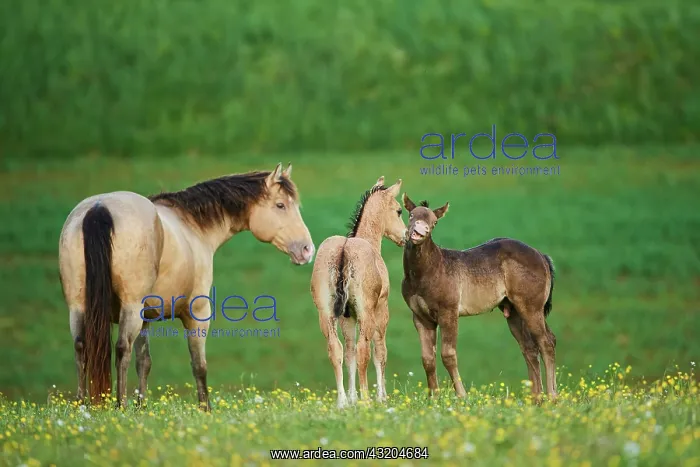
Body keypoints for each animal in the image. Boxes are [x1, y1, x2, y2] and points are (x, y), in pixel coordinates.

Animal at [58, 163, 314, 411]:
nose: (307, 249)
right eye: (280, 205)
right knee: (122, 348)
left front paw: (141, 407)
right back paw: (120, 406)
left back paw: (83, 405)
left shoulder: (145, 318)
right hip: (130, 307)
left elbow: (144, 361)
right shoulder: (197, 313)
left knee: (81, 346)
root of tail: (99, 207)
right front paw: (205, 408)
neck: (192, 226)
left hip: (79, 307)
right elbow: (198, 364)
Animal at [310, 176, 407, 408]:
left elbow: (349, 353)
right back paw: (366, 400)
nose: (406, 236)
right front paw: (381, 397)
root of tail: (344, 251)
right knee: (365, 350)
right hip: (366, 313)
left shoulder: (347, 317)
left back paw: (343, 401)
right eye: (399, 210)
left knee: (336, 349)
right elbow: (379, 352)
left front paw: (352, 398)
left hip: (326, 314)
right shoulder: (380, 311)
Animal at [400, 194, 558, 401]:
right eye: (411, 215)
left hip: (532, 307)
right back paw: (535, 398)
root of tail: (541, 256)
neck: (427, 271)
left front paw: (462, 396)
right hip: (515, 311)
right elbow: (428, 359)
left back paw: (552, 397)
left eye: (434, 222)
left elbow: (448, 355)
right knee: (530, 347)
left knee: (546, 342)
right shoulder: (420, 317)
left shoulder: (448, 312)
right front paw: (433, 398)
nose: (419, 231)